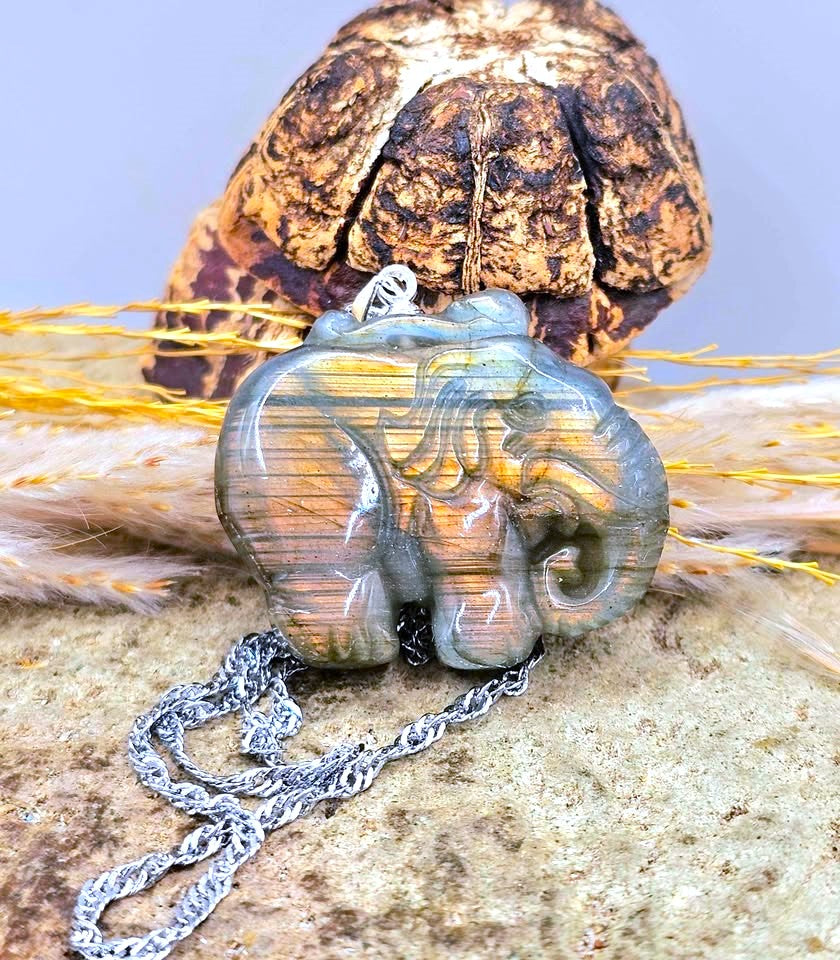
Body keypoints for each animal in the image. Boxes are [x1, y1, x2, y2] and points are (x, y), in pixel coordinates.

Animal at [216, 284, 669, 670]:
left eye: (605, 388)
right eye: (527, 410)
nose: (565, 562)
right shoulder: (450, 489)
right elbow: (476, 558)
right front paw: (493, 657)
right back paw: (358, 655)